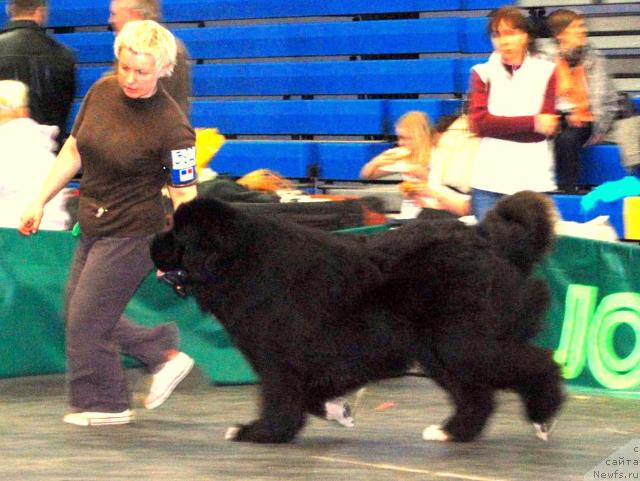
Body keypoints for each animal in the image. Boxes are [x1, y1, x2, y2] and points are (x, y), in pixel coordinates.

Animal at [152, 190, 564, 442]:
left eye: (176, 234)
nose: (151, 242)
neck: (240, 261)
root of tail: (484, 237)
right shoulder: (310, 362)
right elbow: (309, 394)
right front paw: (337, 410)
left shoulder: (277, 360)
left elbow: (280, 399)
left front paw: (260, 432)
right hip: (440, 349)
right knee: (477, 394)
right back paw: (452, 431)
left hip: (462, 342)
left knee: (536, 363)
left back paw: (542, 416)